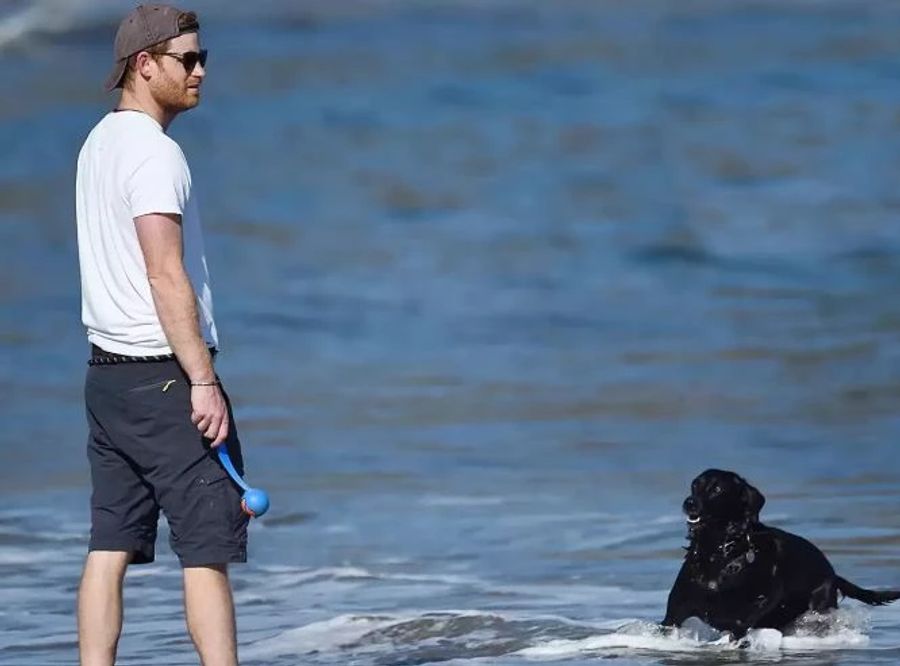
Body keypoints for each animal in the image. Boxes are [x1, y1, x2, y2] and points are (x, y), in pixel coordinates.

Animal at [660, 464, 900, 636]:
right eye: (694, 486)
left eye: (717, 489)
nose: (689, 503)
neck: (719, 552)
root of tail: (832, 572)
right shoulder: (673, 616)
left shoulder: (748, 615)